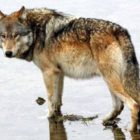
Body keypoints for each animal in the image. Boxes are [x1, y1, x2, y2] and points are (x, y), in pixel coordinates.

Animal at [0, 6, 140, 131]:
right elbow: (57, 101)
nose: (8, 53)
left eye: (15, 35)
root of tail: (120, 31)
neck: (35, 31)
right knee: (119, 105)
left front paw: (48, 117)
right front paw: (57, 117)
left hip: (111, 80)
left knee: (133, 104)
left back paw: (131, 130)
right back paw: (106, 120)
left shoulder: (48, 72)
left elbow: (50, 100)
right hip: (109, 80)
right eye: (3, 36)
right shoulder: (59, 73)